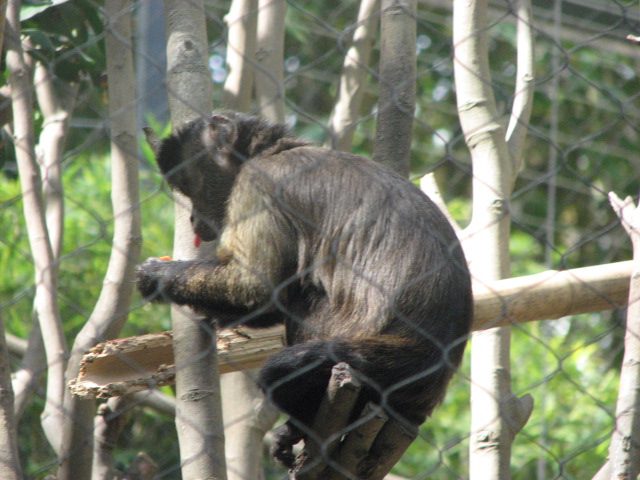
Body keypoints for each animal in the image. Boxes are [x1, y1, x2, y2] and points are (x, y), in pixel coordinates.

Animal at [136, 111, 473, 468]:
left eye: (190, 187)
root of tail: (424, 357)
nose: (192, 219)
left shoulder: (261, 182)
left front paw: (159, 276)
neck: (274, 151)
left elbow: (258, 288)